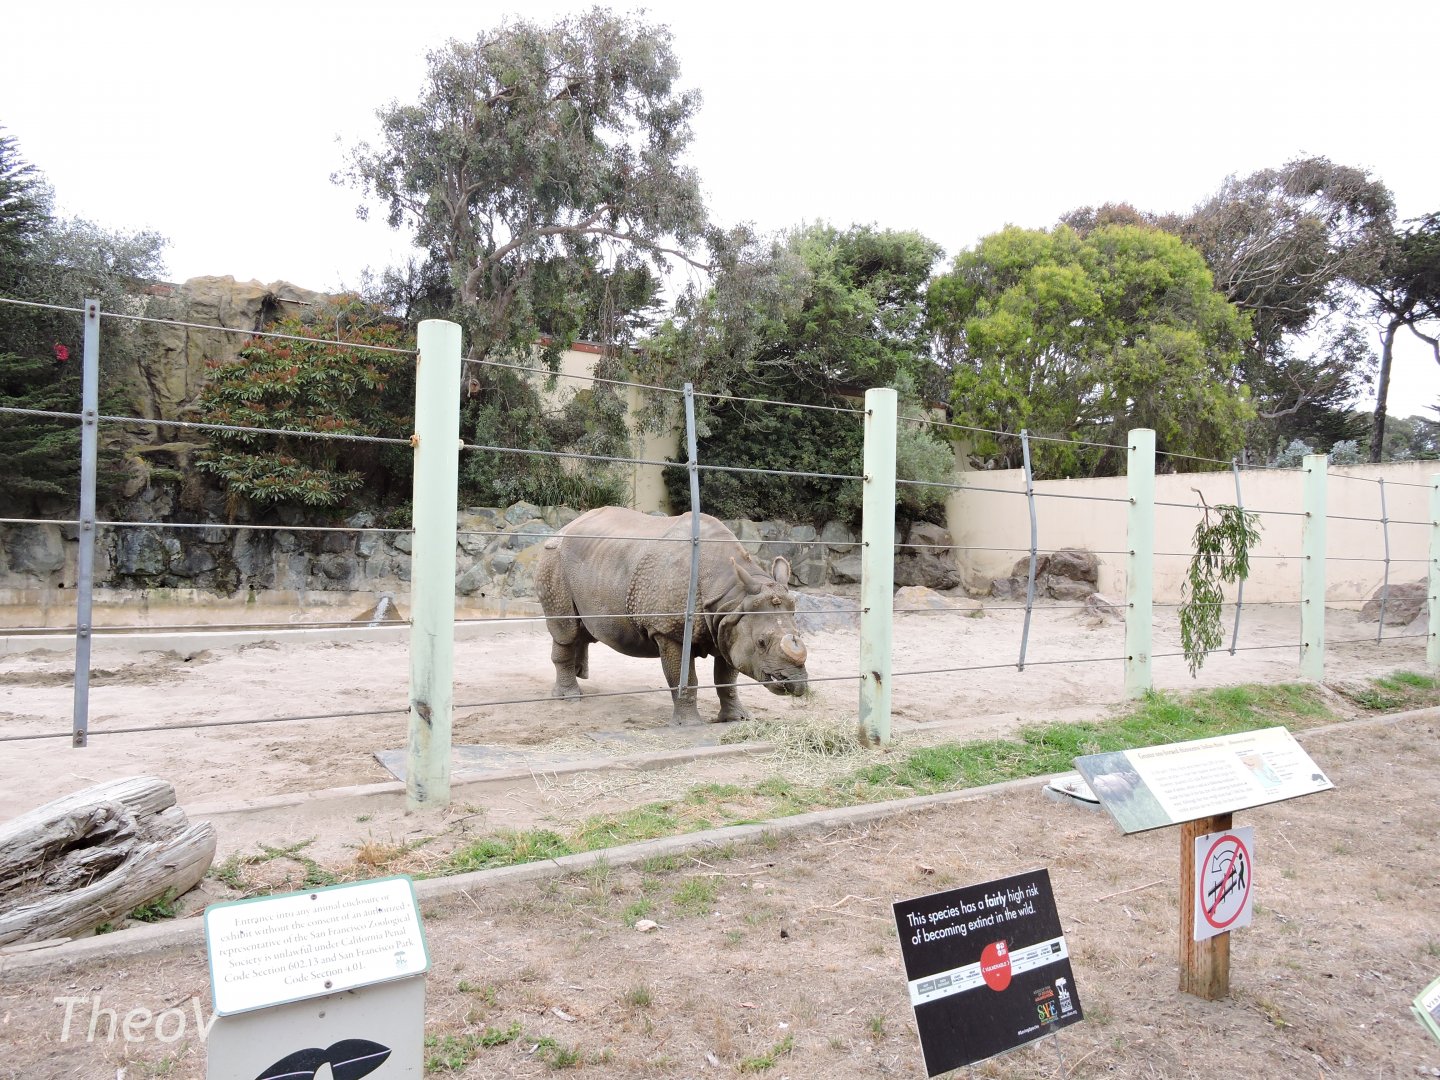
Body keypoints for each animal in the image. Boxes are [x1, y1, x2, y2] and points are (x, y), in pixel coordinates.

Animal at [534, 506, 810, 723]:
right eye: (762, 642)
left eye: (799, 634)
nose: (796, 684)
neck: (731, 592)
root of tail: (563, 527)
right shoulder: (668, 631)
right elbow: (683, 677)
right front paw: (689, 725)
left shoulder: (729, 622)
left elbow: (727, 677)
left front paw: (737, 719)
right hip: (553, 558)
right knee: (566, 630)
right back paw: (570, 699)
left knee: (580, 629)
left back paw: (580, 676)